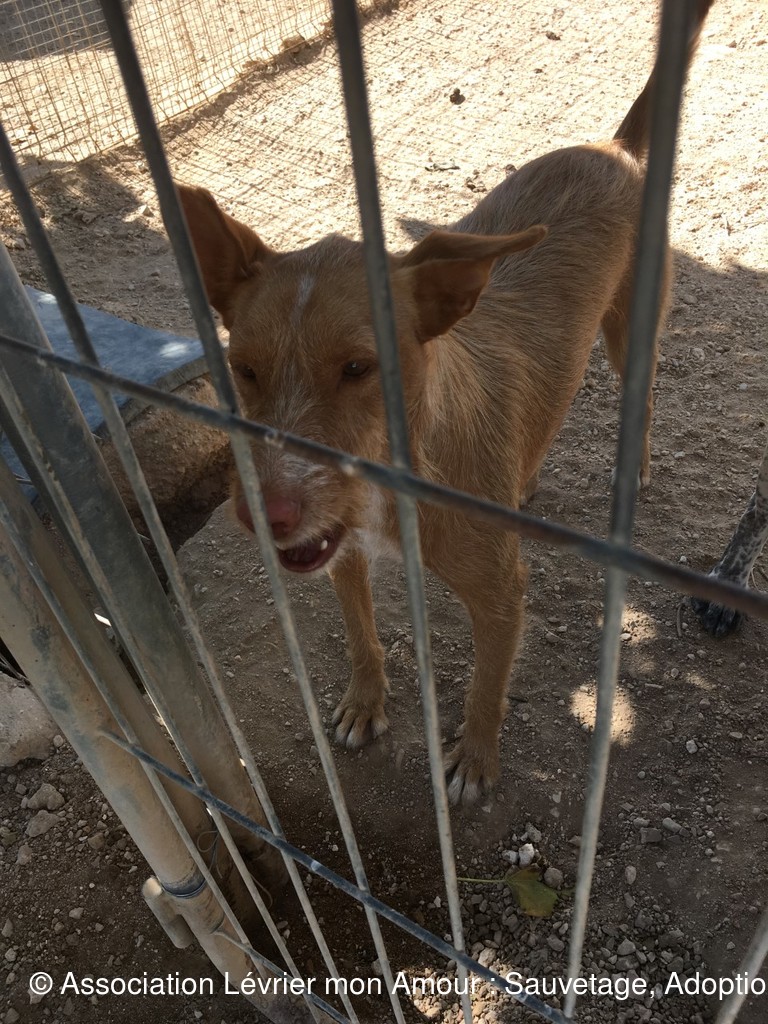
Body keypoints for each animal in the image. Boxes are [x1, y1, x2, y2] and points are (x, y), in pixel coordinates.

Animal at [177, 0, 712, 804]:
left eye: (360, 367)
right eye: (242, 369)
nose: (263, 513)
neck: (403, 478)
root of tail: (614, 149)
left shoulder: (502, 594)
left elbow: (486, 686)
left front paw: (476, 759)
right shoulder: (342, 555)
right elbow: (362, 640)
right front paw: (366, 703)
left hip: (634, 332)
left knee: (642, 396)